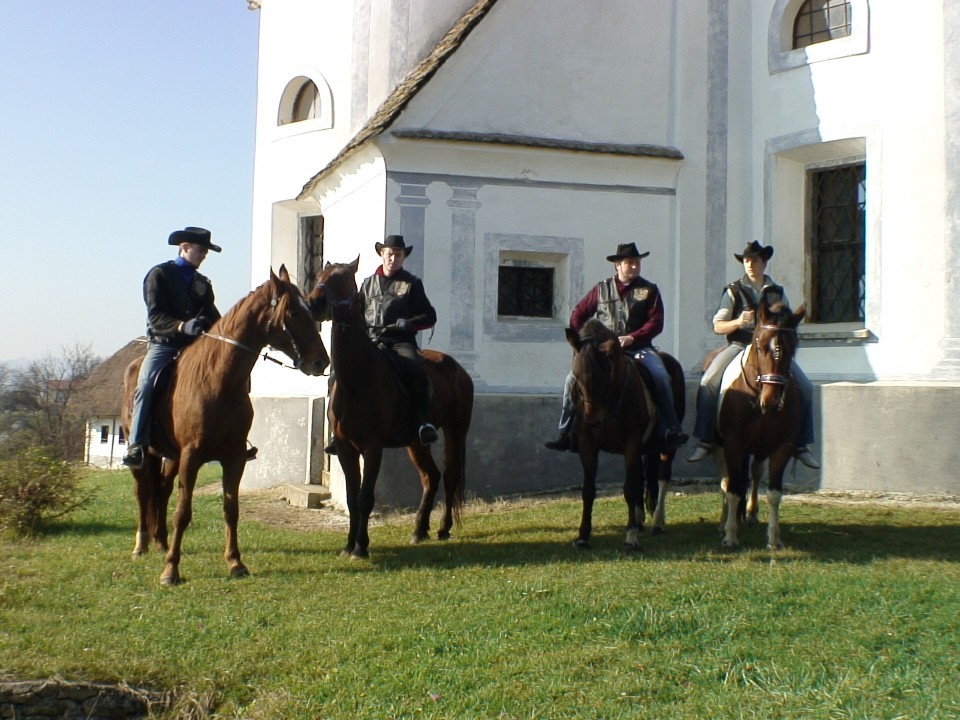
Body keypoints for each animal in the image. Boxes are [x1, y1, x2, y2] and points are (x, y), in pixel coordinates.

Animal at [119, 268, 330, 584]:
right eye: (293, 311)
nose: (321, 361)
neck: (218, 380)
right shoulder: (192, 457)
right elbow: (183, 512)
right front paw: (171, 570)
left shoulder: (233, 458)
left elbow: (231, 508)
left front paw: (235, 562)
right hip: (146, 455)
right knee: (143, 492)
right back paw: (141, 545)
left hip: (170, 456)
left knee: (162, 490)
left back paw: (161, 542)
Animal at [306, 256, 474, 560]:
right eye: (320, 277)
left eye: (343, 278)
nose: (314, 303)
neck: (358, 377)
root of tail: (459, 369)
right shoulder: (346, 449)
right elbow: (351, 498)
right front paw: (348, 545)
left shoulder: (373, 447)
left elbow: (365, 498)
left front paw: (361, 547)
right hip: (415, 443)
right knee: (431, 477)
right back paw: (419, 530)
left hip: (456, 432)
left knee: (450, 476)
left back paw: (443, 528)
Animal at [564, 318, 684, 548]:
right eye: (576, 376)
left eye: (604, 375)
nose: (591, 421)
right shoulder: (587, 443)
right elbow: (588, 489)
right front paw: (583, 536)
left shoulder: (632, 443)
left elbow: (629, 488)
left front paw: (631, 537)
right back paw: (639, 519)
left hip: (667, 446)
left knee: (663, 477)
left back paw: (657, 522)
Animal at [716, 290, 808, 548]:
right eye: (759, 345)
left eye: (792, 349)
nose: (771, 401)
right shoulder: (732, 445)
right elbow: (733, 488)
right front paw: (730, 535)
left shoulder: (782, 446)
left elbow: (774, 494)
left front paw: (774, 539)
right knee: (727, 482)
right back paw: (724, 523)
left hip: (758, 448)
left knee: (755, 474)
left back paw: (750, 514)